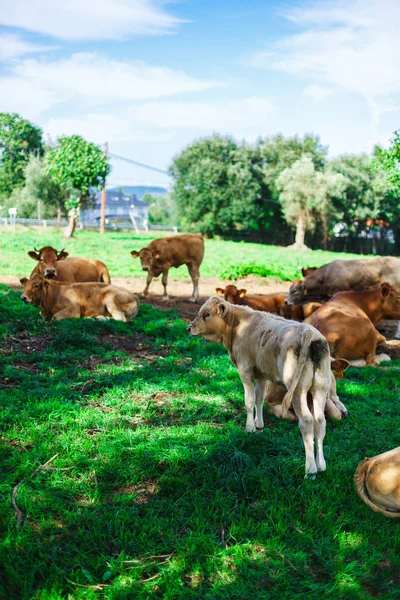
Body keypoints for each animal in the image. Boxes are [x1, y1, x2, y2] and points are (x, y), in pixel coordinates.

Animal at [188, 298, 334, 476]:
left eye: (206, 314)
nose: (189, 327)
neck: (239, 325)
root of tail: (310, 333)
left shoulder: (245, 370)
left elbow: (249, 401)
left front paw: (250, 427)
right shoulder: (262, 374)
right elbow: (259, 399)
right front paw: (259, 425)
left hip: (298, 391)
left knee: (307, 421)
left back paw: (310, 470)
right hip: (320, 388)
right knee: (320, 421)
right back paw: (321, 465)